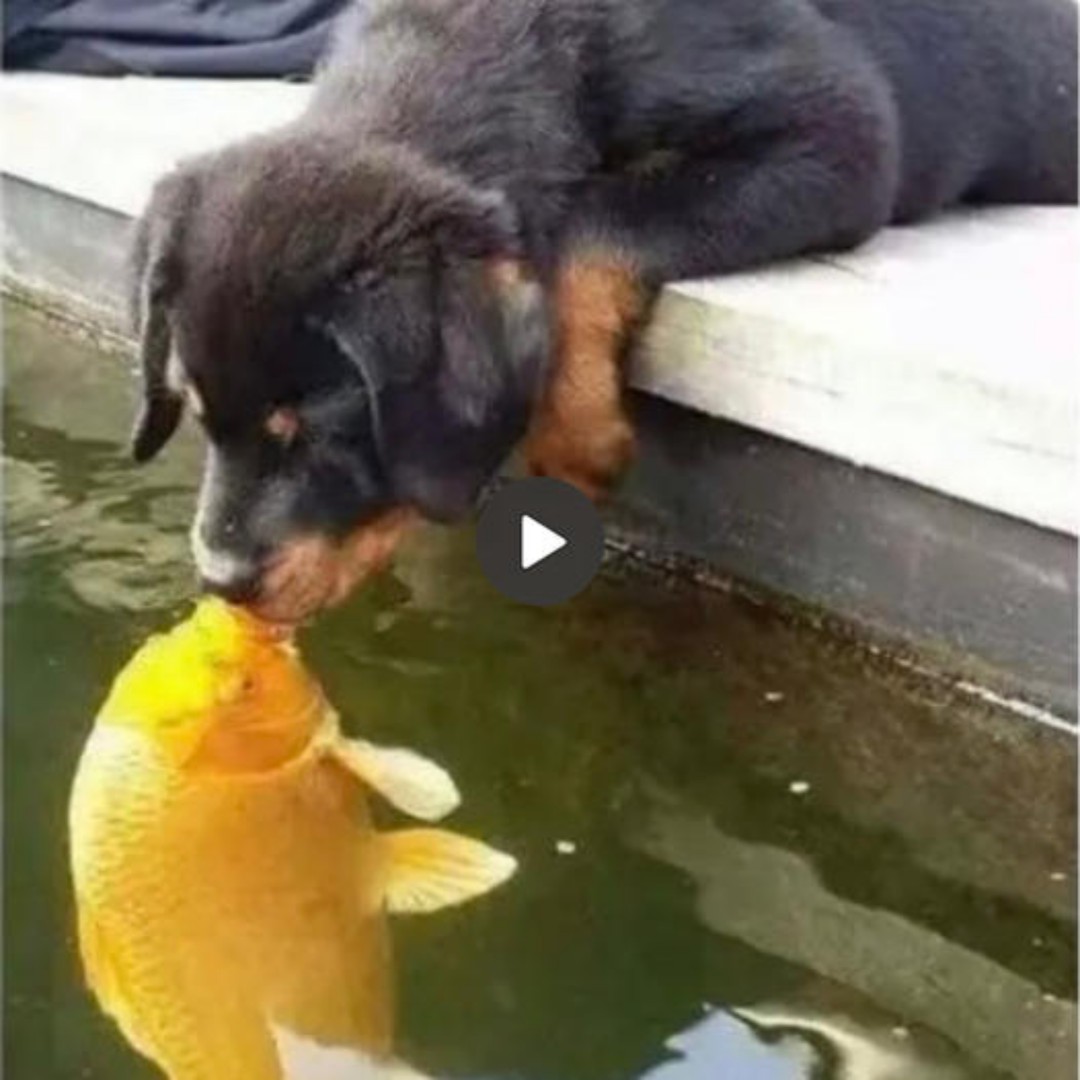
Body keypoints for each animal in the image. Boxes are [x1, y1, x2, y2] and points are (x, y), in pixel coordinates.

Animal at [130, 0, 1075, 622]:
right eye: (198, 414)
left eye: (320, 435)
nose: (220, 580)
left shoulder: (839, 129)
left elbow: (592, 228)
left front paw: (577, 437)